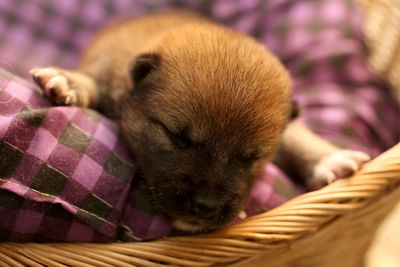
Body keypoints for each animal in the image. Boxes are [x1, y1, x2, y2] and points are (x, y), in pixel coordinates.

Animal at [29, 10, 370, 233]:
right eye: (177, 136)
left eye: (252, 157)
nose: (206, 205)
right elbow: (92, 82)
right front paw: (70, 82)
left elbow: (296, 136)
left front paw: (329, 158)